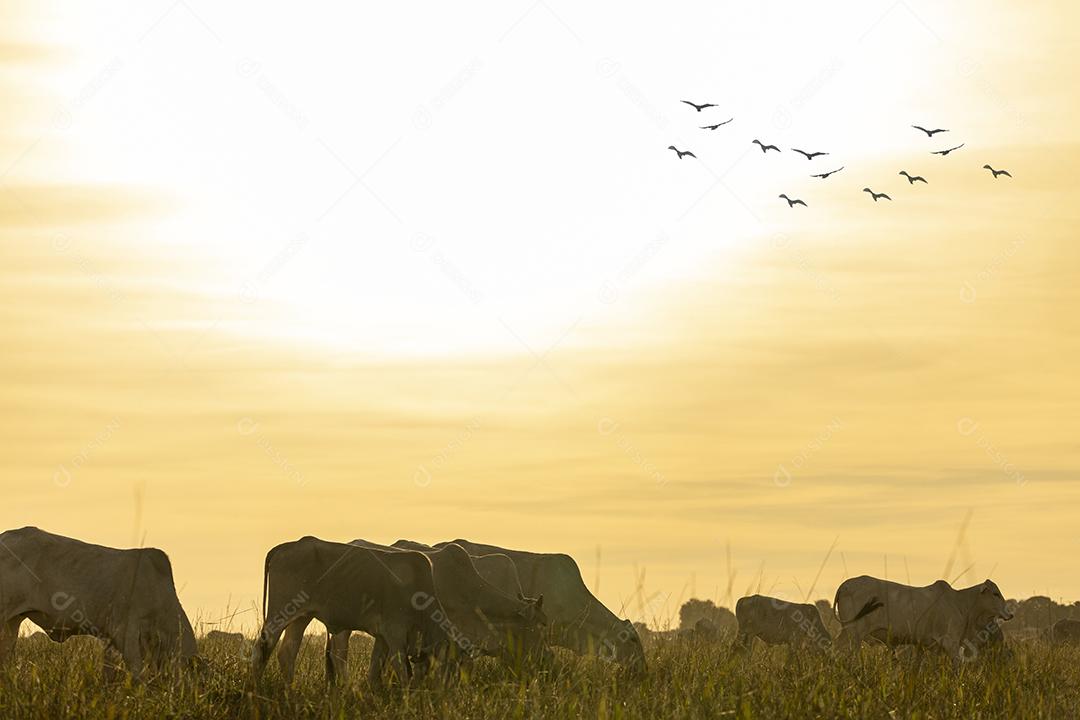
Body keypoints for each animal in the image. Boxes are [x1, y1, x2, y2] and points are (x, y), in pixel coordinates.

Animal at [250, 536, 452, 688]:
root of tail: (286, 546)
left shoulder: (382, 637)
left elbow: (376, 666)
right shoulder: (394, 632)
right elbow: (403, 670)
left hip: (301, 616)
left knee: (287, 653)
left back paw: (290, 689)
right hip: (279, 613)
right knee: (262, 649)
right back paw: (256, 687)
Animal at [833, 575, 1013, 661]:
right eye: (995, 593)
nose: (1010, 614)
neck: (961, 603)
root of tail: (845, 585)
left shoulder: (931, 646)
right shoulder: (950, 642)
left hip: (848, 632)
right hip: (854, 632)